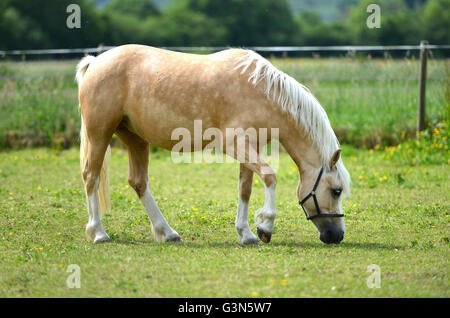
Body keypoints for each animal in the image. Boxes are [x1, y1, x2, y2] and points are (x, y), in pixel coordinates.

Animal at [77, 44, 350, 243]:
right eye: (336, 190)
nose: (337, 236)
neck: (261, 90)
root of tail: (94, 62)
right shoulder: (235, 144)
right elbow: (270, 177)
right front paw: (265, 227)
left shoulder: (251, 146)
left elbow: (245, 189)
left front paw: (246, 234)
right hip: (100, 133)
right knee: (91, 176)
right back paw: (98, 233)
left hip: (136, 139)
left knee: (138, 182)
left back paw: (167, 232)